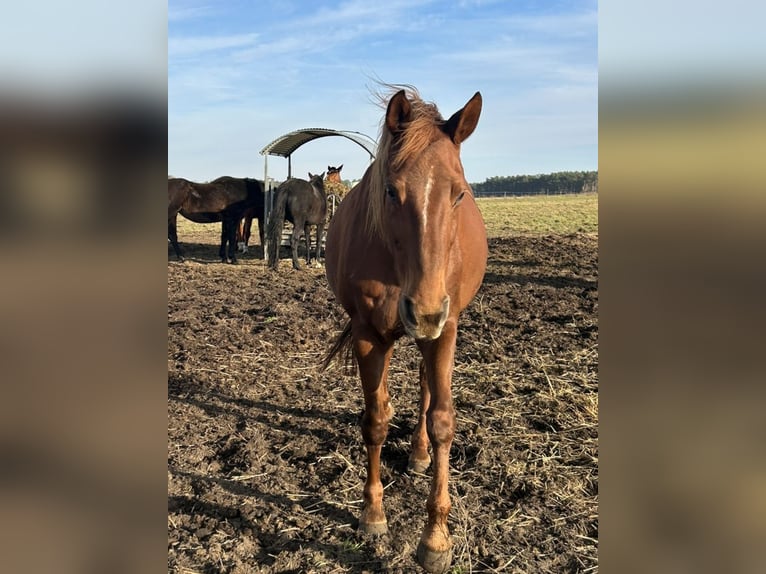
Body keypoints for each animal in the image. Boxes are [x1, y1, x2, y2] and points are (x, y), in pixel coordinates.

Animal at [323, 86, 486, 573]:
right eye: (391, 192)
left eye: (459, 194)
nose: (426, 310)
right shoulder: (367, 333)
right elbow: (375, 419)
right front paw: (372, 514)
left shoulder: (446, 329)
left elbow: (443, 420)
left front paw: (435, 539)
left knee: (425, 390)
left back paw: (418, 453)